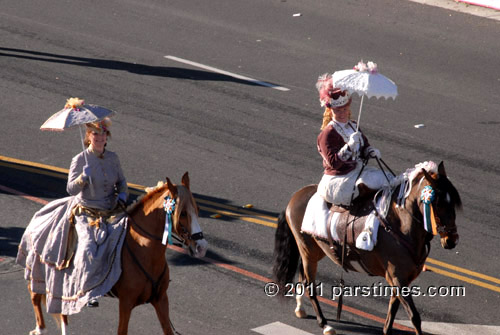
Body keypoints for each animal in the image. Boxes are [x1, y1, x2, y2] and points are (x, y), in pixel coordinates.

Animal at [27, 173, 207, 335]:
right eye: (182, 213)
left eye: (197, 209)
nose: (202, 247)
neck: (144, 251)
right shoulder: (126, 303)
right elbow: (122, 331)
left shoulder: (161, 299)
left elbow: (167, 330)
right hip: (41, 271)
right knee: (35, 296)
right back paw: (40, 329)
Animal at [274, 161, 460, 334]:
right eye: (437, 203)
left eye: (453, 202)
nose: (452, 240)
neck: (401, 227)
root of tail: (296, 196)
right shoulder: (398, 278)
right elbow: (414, 316)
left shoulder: (400, 280)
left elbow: (392, 312)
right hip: (308, 251)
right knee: (309, 284)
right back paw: (324, 324)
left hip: (314, 251)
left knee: (302, 276)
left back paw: (300, 309)